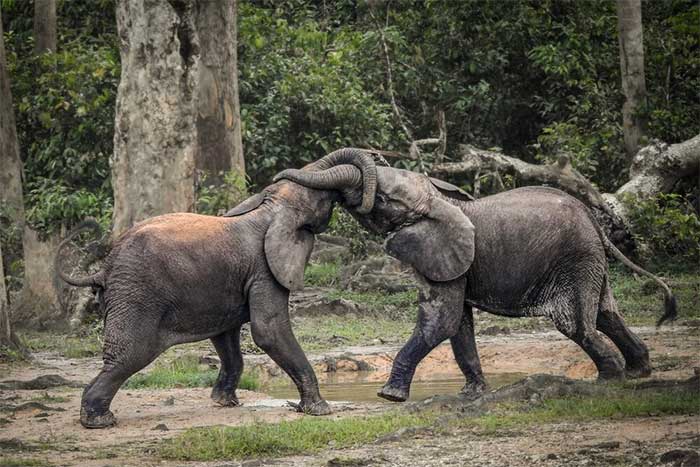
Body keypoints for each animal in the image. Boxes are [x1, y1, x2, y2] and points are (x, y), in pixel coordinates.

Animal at [55, 149, 380, 428]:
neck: (269, 209)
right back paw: (99, 421)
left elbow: (226, 338)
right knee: (130, 354)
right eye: (324, 199)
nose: (357, 197)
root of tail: (105, 267)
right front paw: (321, 410)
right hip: (136, 296)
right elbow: (269, 330)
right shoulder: (264, 270)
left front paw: (225, 403)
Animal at [276, 149, 676, 402]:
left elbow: (441, 320)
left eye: (385, 198)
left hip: (574, 260)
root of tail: (596, 221)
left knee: (577, 324)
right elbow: (458, 325)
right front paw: (471, 394)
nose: (279, 176)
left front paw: (389, 396)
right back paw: (639, 372)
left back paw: (607, 380)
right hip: (589, 261)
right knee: (607, 314)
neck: (442, 201)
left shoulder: (442, 255)